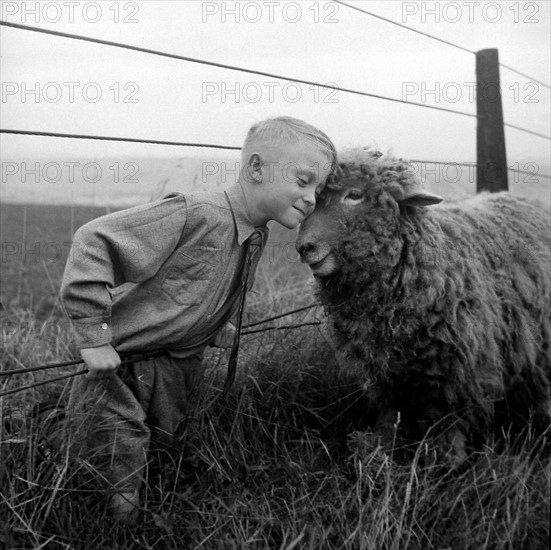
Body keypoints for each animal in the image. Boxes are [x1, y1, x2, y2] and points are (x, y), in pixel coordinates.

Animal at [298, 149, 551, 468]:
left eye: (354, 195)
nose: (304, 247)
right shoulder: (387, 371)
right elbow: (390, 416)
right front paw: (379, 453)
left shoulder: (455, 374)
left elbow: (445, 424)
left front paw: (445, 464)